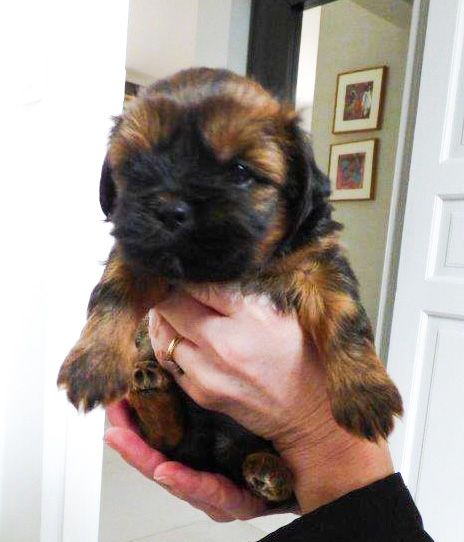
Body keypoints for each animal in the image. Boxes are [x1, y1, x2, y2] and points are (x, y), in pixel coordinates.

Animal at [57, 68, 403, 503]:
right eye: (136, 167)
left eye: (240, 172)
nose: (169, 209)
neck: (230, 269)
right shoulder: (137, 254)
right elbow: (111, 298)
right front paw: (94, 362)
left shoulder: (319, 265)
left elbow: (346, 322)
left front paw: (366, 392)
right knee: (169, 439)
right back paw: (151, 388)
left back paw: (270, 472)